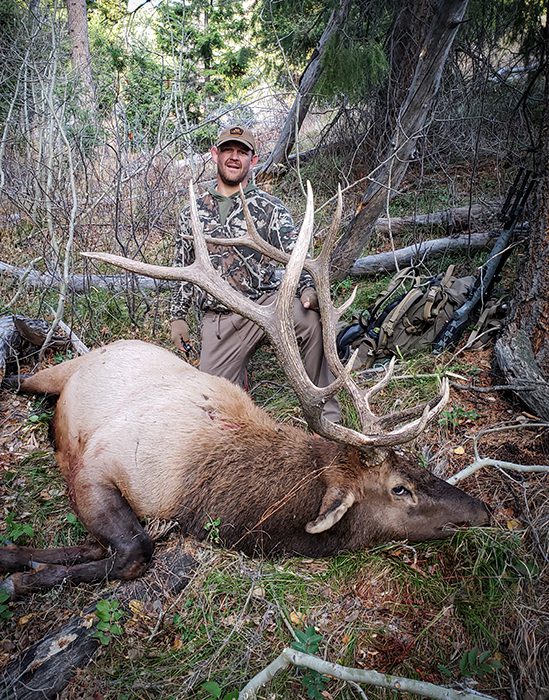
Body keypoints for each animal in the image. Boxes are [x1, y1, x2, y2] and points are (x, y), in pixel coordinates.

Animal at [0, 183, 490, 599]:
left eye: (413, 464)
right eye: (399, 489)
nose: (483, 511)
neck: (204, 489)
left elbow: (102, 547)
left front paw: (21, 561)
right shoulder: (97, 465)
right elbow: (136, 550)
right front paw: (21, 579)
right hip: (59, 372)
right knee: (17, 379)